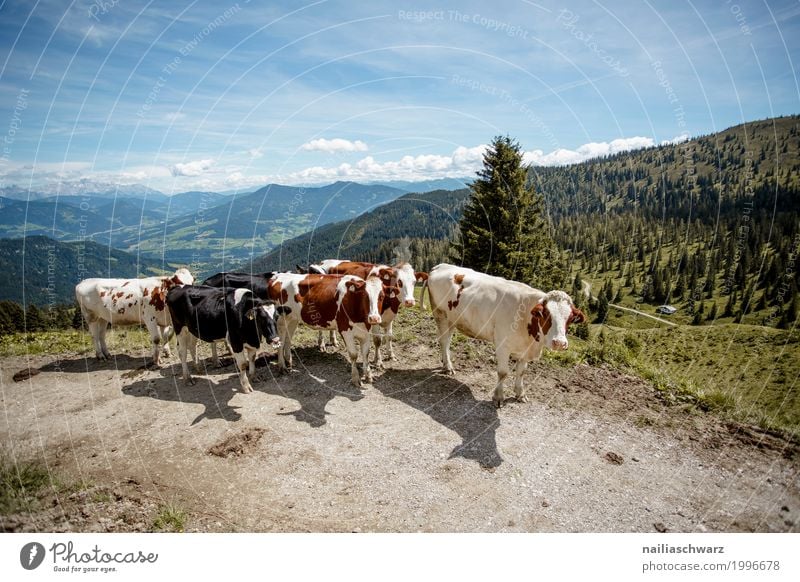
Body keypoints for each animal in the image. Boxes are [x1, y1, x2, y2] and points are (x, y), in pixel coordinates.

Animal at [428, 264, 584, 406]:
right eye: (545, 314)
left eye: (570, 318)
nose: (559, 343)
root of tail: (441, 266)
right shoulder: (503, 345)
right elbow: (503, 372)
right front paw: (498, 397)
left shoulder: (525, 350)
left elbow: (521, 372)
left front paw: (520, 394)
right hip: (440, 314)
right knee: (444, 341)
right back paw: (448, 367)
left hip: (452, 319)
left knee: (447, 341)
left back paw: (446, 364)